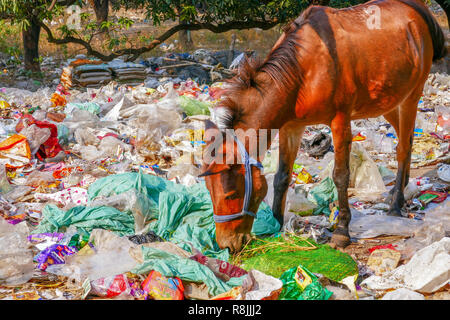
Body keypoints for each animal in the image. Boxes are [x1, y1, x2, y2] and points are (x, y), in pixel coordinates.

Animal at [200, 0, 446, 252]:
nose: (227, 243)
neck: (302, 69)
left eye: (231, 194)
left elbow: (341, 175)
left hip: (410, 97)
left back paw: (396, 203)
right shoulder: (291, 126)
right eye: (208, 189)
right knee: (406, 140)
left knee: (403, 148)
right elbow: (281, 177)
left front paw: (342, 230)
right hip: (388, 101)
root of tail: (417, 10)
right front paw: (276, 224)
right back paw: (400, 189)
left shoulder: (340, 121)